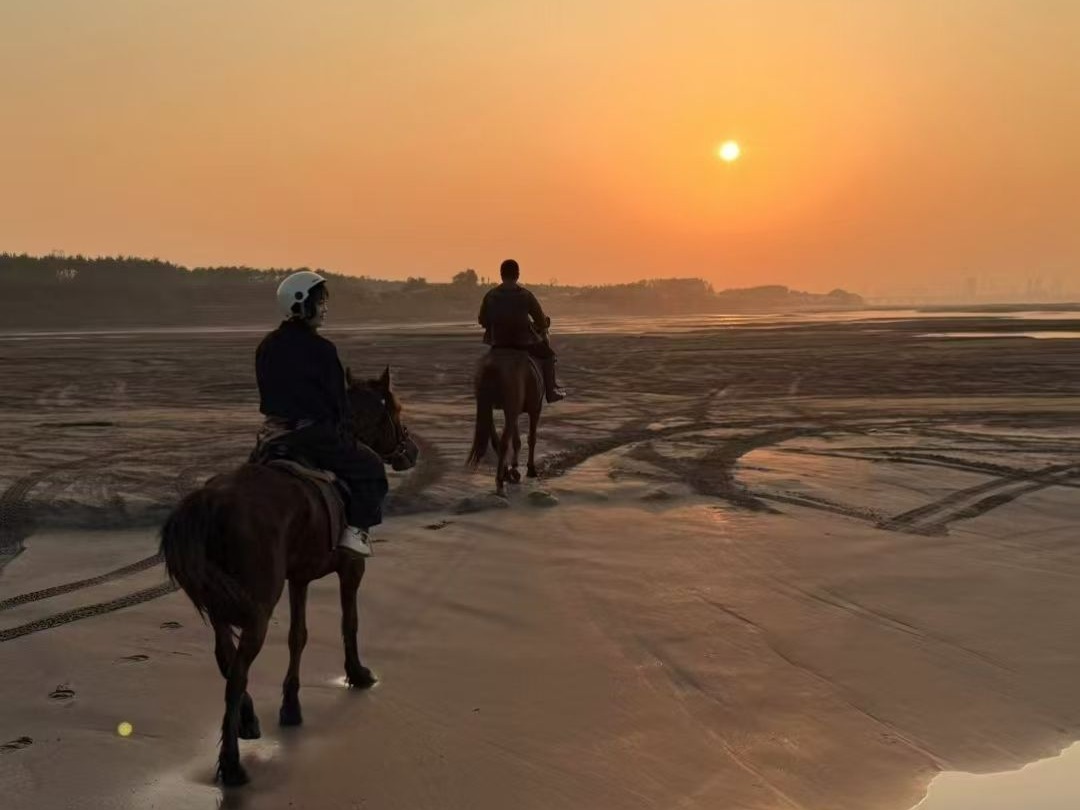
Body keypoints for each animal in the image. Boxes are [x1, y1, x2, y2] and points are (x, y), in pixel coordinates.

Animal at [159, 367, 416, 786]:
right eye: (394, 409)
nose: (411, 450)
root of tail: (212, 500)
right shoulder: (352, 568)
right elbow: (350, 622)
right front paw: (357, 673)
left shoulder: (298, 579)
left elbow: (299, 636)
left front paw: (291, 705)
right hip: (258, 606)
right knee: (237, 674)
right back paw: (232, 765)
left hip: (222, 602)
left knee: (225, 657)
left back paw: (247, 721)